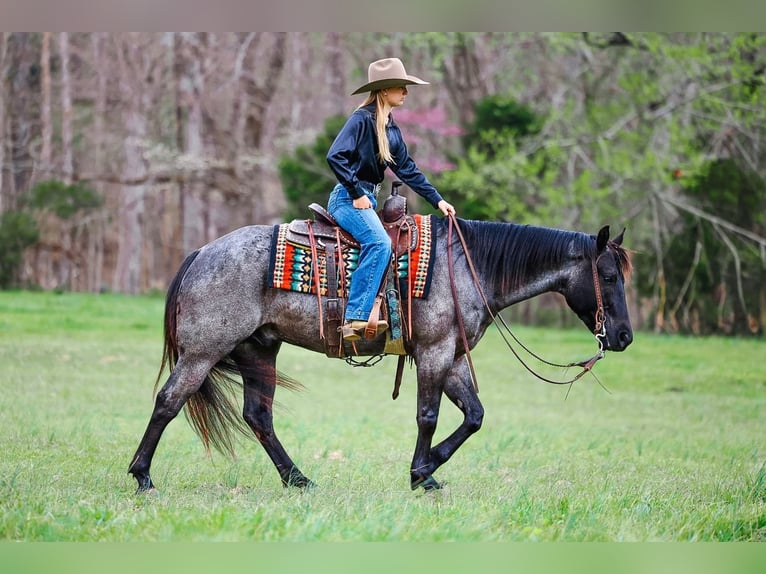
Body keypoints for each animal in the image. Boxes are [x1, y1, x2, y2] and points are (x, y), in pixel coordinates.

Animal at [128, 215, 633, 493]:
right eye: (608, 275)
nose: (625, 337)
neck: (468, 266)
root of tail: (201, 252)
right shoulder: (434, 351)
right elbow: (428, 415)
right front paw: (421, 473)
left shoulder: (452, 357)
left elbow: (474, 415)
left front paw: (430, 470)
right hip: (204, 351)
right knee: (169, 401)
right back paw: (142, 477)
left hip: (259, 349)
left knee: (258, 416)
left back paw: (299, 479)